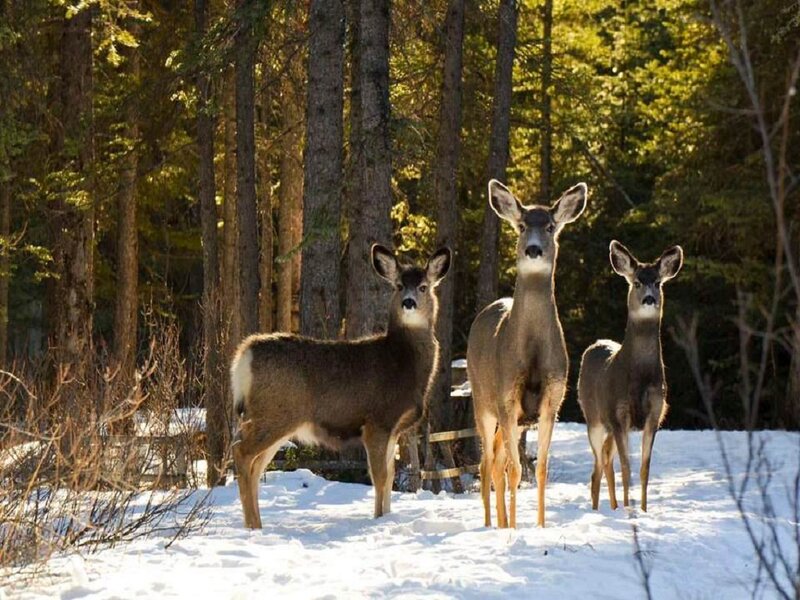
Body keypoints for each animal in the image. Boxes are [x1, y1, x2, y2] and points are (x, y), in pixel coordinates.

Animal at [229, 245, 451, 529]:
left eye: (423, 286)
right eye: (399, 285)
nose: (409, 302)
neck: (403, 364)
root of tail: (245, 354)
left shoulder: (393, 429)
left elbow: (390, 475)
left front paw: (386, 516)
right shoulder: (377, 421)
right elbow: (380, 476)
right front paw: (378, 519)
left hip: (276, 421)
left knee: (256, 466)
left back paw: (257, 524)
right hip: (274, 413)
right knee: (242, 452)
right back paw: (253, 526)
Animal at [468, 179, 588, 528]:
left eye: (549, 226)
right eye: (521, 226)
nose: (533, 249)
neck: (532, 354)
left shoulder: (552, 399)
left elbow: (541, 467)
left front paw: (540, 526)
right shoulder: (507, 396)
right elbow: (515, 470)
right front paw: (514, 529)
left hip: (517, 419)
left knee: (496, 461)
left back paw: (501, 520)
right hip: (482, 402)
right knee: (487, 463)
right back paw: (490, 524)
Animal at [577, 240, 683, 513]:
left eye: (657, 282)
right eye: (636, 282)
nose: (649, 299)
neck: (639, 377)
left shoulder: (654, 414)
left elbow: (644, 469)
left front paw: (643, 510)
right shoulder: (618, 413)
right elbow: (627, 469)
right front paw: (629, 511)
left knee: (606, 461)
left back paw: (613, 506)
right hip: (594, 418)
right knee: (598, 468)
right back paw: (599, 509)